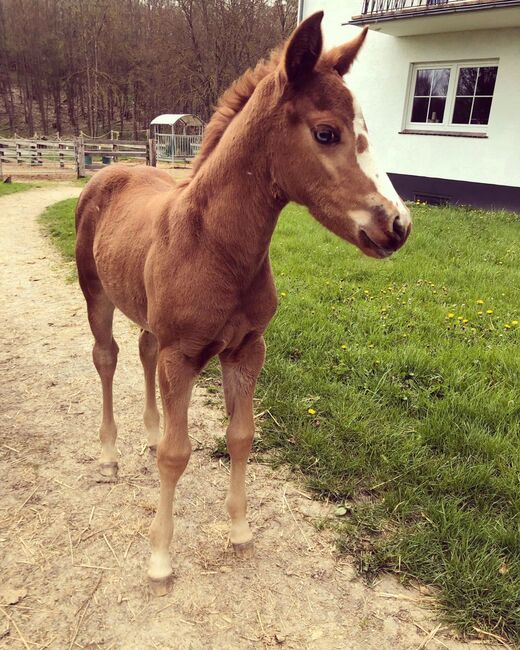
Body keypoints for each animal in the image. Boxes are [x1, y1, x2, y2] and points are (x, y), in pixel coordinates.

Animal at [76, 11, 410, 592]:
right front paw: (160, 558)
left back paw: (146, 433)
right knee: (107, 358)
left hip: (149, 318)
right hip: (96, 293)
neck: (214, 246)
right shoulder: (183, 355)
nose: (398, 225)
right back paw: (111, 455)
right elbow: (177, 455)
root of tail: (111, 168)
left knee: (141, 350)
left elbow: (241, 437)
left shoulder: (247, 348)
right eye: (327, 132)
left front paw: (239, 531)